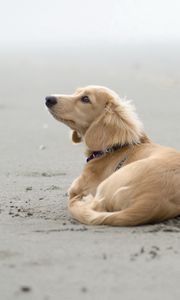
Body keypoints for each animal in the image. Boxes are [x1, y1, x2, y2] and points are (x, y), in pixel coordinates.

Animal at [44, 84, 180, 225]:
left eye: (85, 99)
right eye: (76, 92)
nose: (48, 98)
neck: (112, 149)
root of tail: (149, 202)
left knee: (96, 206)